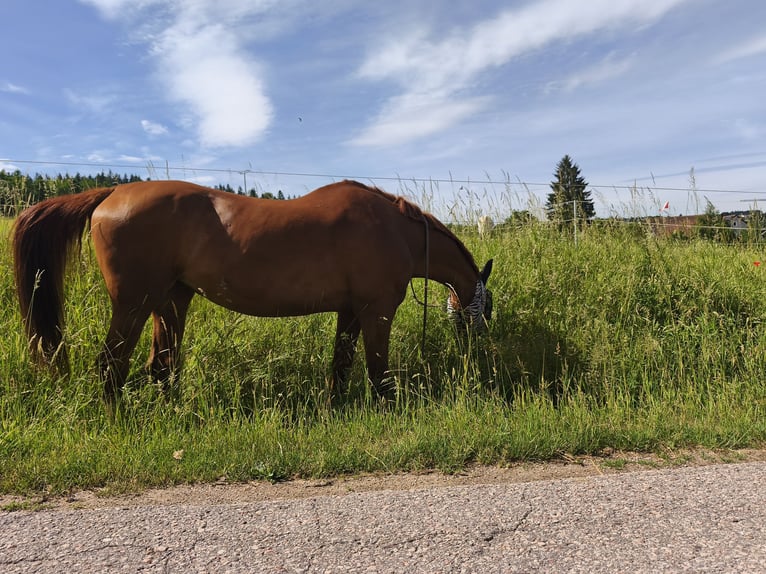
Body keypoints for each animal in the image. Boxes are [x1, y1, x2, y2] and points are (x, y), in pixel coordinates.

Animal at [13, 179, 493, 403]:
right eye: (484, 310)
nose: (480, 355)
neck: (394, 230)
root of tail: (114, 192)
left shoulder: (351, 312)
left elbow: (340, 365)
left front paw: (334, 408)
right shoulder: (377, 311)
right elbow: (377, 372)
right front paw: (387, 408)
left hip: (170, 301)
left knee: (160, 367)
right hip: (134, 304)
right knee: (111, 366)